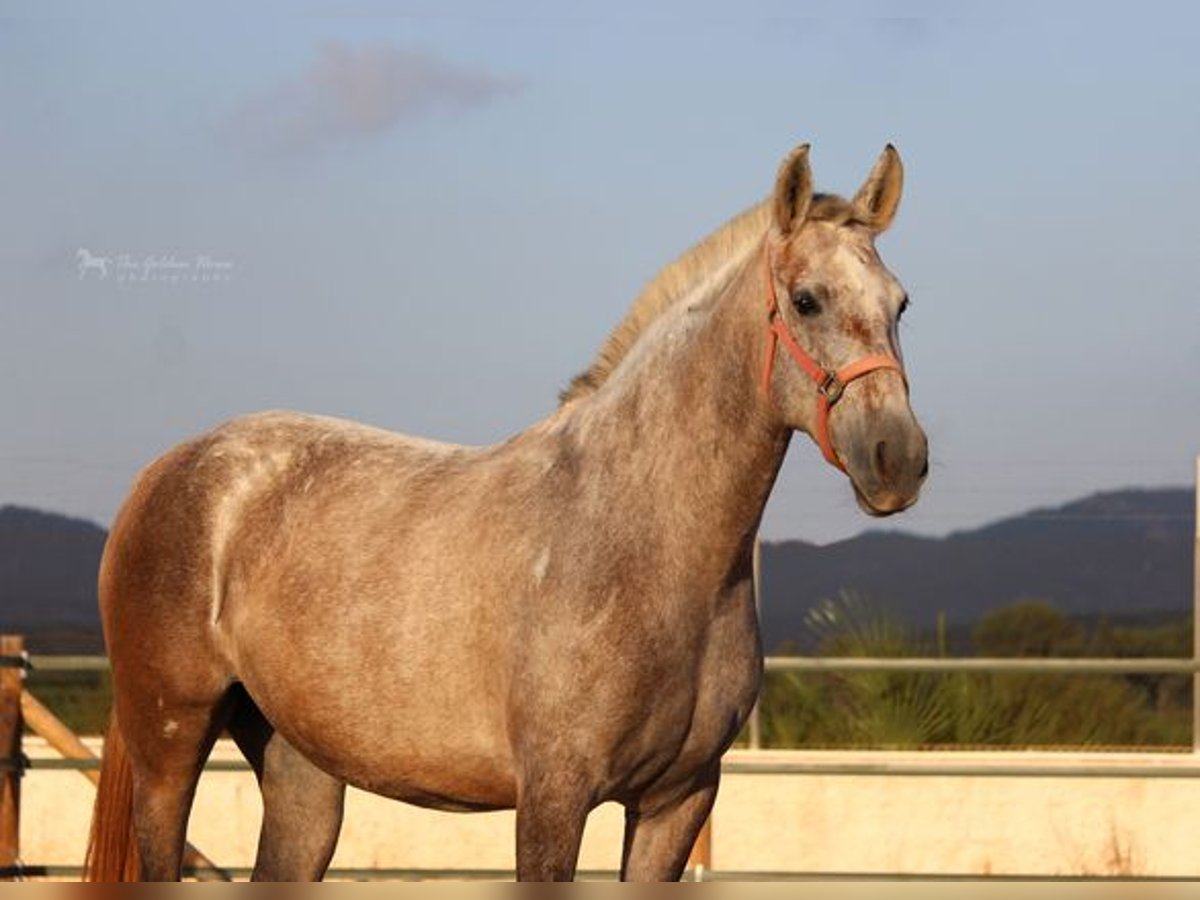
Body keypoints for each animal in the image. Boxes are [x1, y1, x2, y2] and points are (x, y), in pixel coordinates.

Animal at [87, 142, 926, 883]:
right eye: (807, 300)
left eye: (901, 304)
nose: (899, 458)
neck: (647, 543)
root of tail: (171, 468)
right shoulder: (553, 798)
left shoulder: (677, 803)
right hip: (170, 746)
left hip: (303, 772)